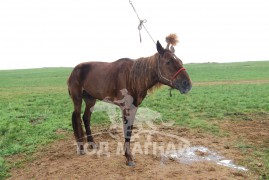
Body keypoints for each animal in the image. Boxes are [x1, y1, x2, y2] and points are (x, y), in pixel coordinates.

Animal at [68, 33, 192, 166]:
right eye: (168, 62)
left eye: (180, 61)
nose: (187, 84)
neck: (133, 77)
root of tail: (74, 70)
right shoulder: (125, 108)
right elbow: (126, 131)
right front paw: (128, 158)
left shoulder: (134, 107)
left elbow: (130, 130)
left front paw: (128, 155)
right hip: (78, 99)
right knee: (77, 118)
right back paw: (81, 147)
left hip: (90, 99)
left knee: (86, 118)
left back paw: (92, 144)